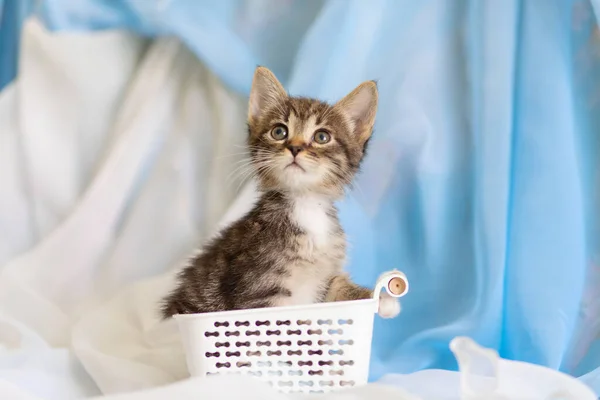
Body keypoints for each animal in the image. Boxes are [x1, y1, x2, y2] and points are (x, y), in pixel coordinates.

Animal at [161, 67, 398, 320]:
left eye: (322, 137)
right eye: (279, 131)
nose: (295, 147)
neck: (306, 206)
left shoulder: (323, 282)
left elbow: (337, 288)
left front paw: (382, 299)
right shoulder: (259, 292)